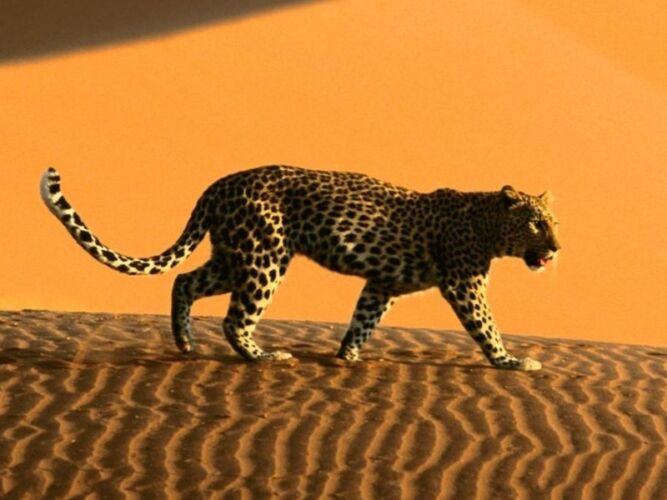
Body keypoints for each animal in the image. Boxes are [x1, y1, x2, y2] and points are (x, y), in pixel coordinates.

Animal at [40, 165, 560, 370]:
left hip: (233, 256)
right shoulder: (464, 284)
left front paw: (348, 356)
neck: (489, 225)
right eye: (536, 223)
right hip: (264, 259)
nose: (556, 249)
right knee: (234, 318)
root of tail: (217, 184)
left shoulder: (383, 282)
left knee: (184, 282)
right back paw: (264, 356)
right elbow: (486, 326)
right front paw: (511, 362)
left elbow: (364, 319)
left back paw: (185, 344)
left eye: (554, 222)